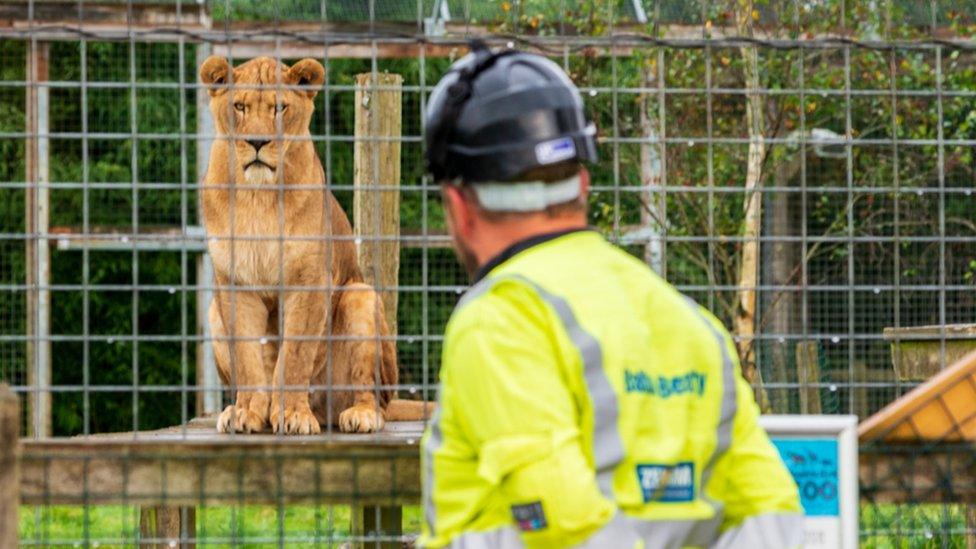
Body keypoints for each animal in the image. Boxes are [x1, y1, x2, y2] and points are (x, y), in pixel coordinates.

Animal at [197, 55, 428, 432]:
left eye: (279, 108)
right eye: (239, 106)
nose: (257, 141)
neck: (257, 195)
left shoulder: (309, 281)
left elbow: (294, 356)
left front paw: (291, 414)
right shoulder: (235, 285)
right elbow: (247, 358)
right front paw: (247, 412)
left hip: (360, 296)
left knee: (374, 398)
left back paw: (359, 415)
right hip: (213, 311)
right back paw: (237, 410)